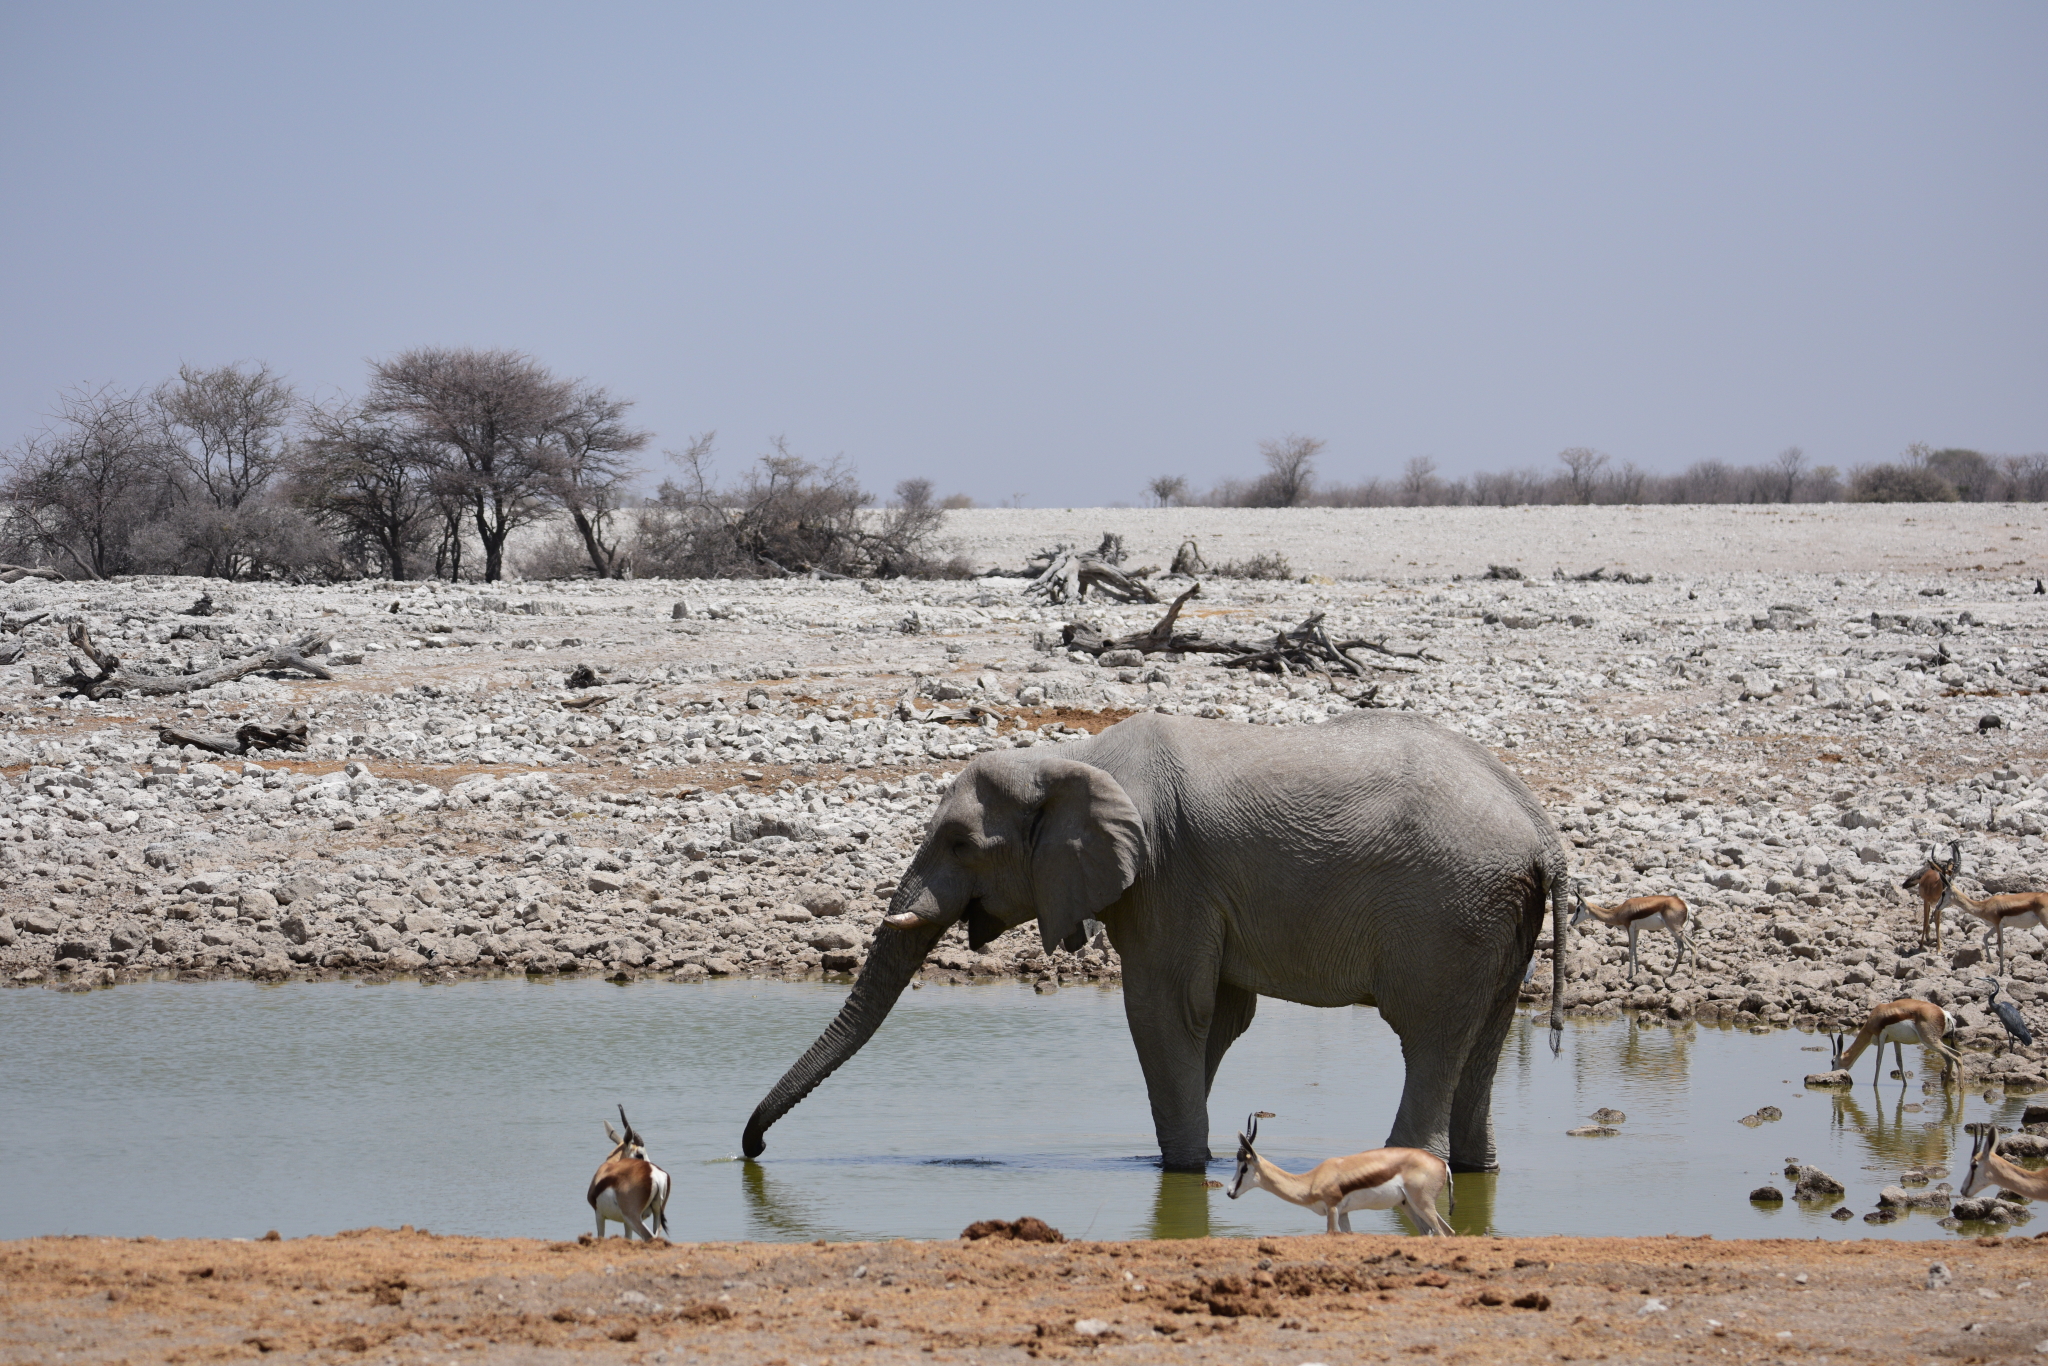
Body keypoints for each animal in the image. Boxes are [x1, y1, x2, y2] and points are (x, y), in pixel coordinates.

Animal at [745, 704, 1572, 1179]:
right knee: (1486, 1033)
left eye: (958, 843)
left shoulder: (1168, 873)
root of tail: (1542, 833)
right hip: (1494, 918)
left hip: (1451, 910)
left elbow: (1164, 1009)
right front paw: (1188, 1160)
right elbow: (1219, 1017)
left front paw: (1179, 1167)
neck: (1071, 760)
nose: (749, 1152)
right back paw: (1475, 1172)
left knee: (1427, 1033)